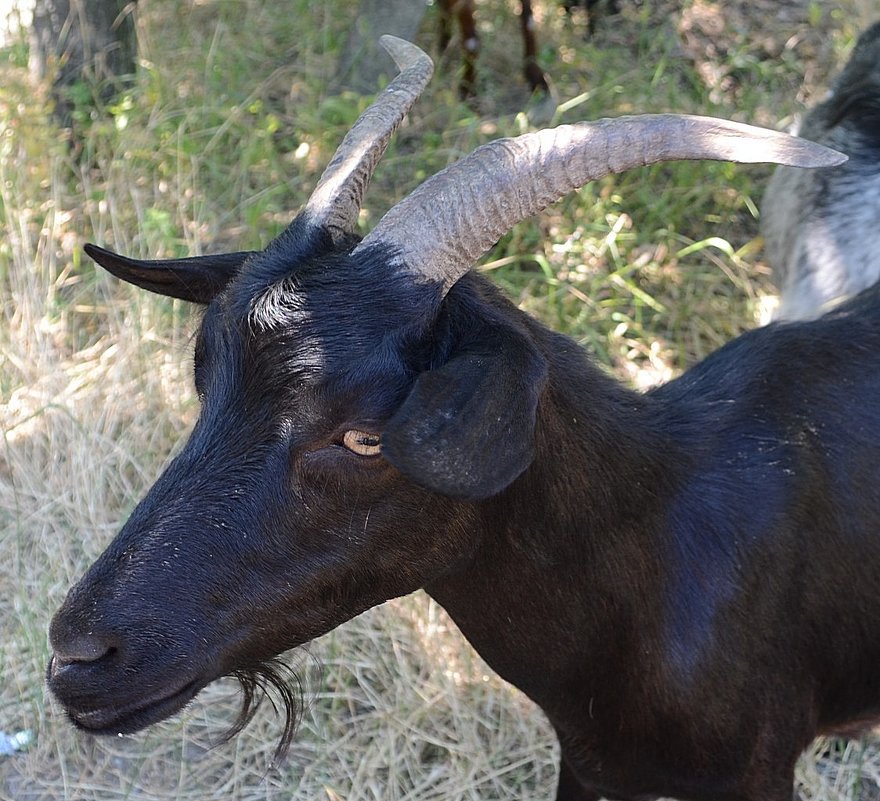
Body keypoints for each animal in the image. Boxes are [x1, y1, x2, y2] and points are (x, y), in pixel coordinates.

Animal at [46, 36, 872, 800]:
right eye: (205, 381)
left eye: (365, 437)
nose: (78, 658)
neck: (659, 553)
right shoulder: (587, 763)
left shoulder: (757, 765)